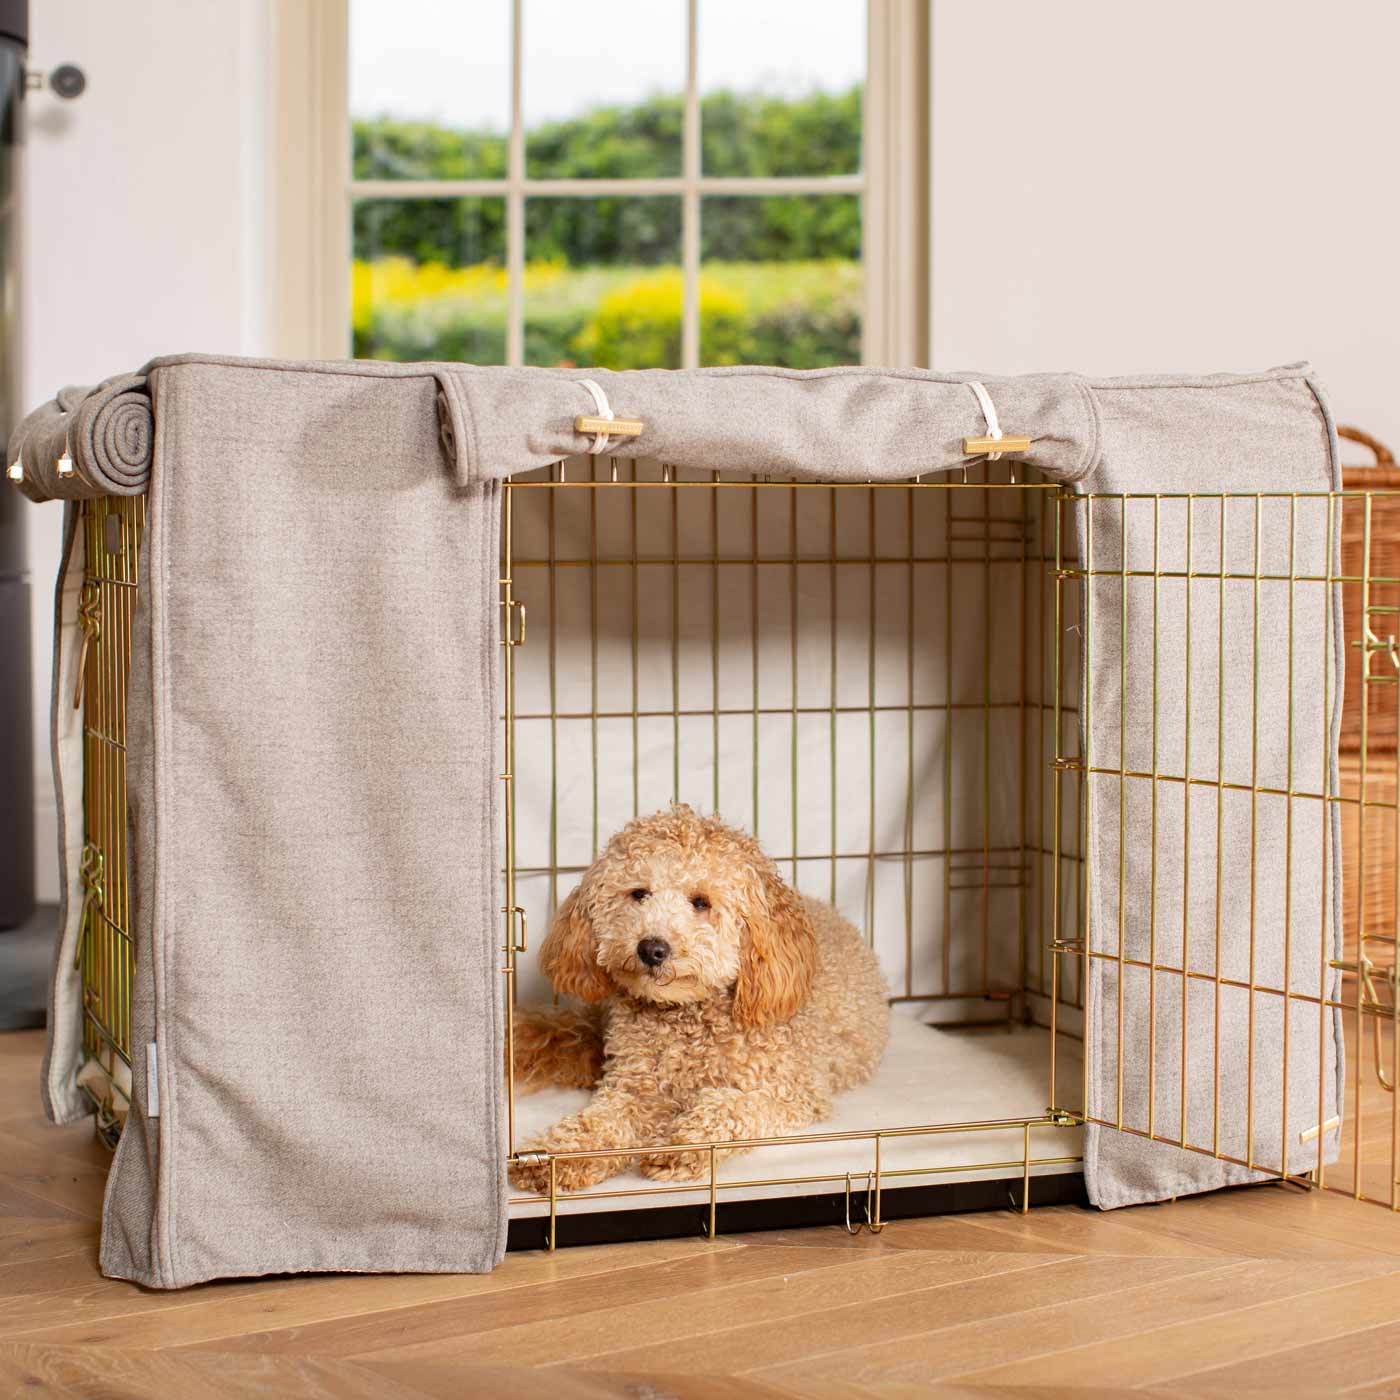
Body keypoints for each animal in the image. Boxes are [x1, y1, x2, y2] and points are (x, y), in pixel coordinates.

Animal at [512, 812, 884, 1192]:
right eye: (639, 894)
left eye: (702, 902)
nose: (651, 948)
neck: (686, 1017)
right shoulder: (633, 1088)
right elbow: (601, 1122)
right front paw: (553, 1158)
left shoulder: (790, 1093)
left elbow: (730, 1109)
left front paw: (681, 1145)